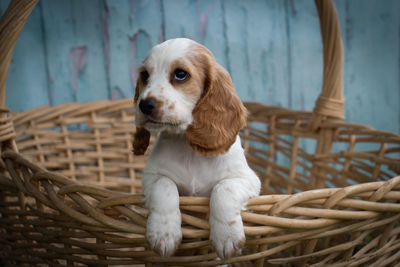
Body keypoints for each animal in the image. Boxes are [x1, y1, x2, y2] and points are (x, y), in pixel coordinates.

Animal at [133, 37, 260, 260]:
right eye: (145, 75)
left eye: (180, 74)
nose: (144, 105)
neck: (188, 148)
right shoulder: (151, 177)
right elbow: (164, 185)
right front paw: (164, 233)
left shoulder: (248, 180)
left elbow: (223, 188)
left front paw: (227, 237)